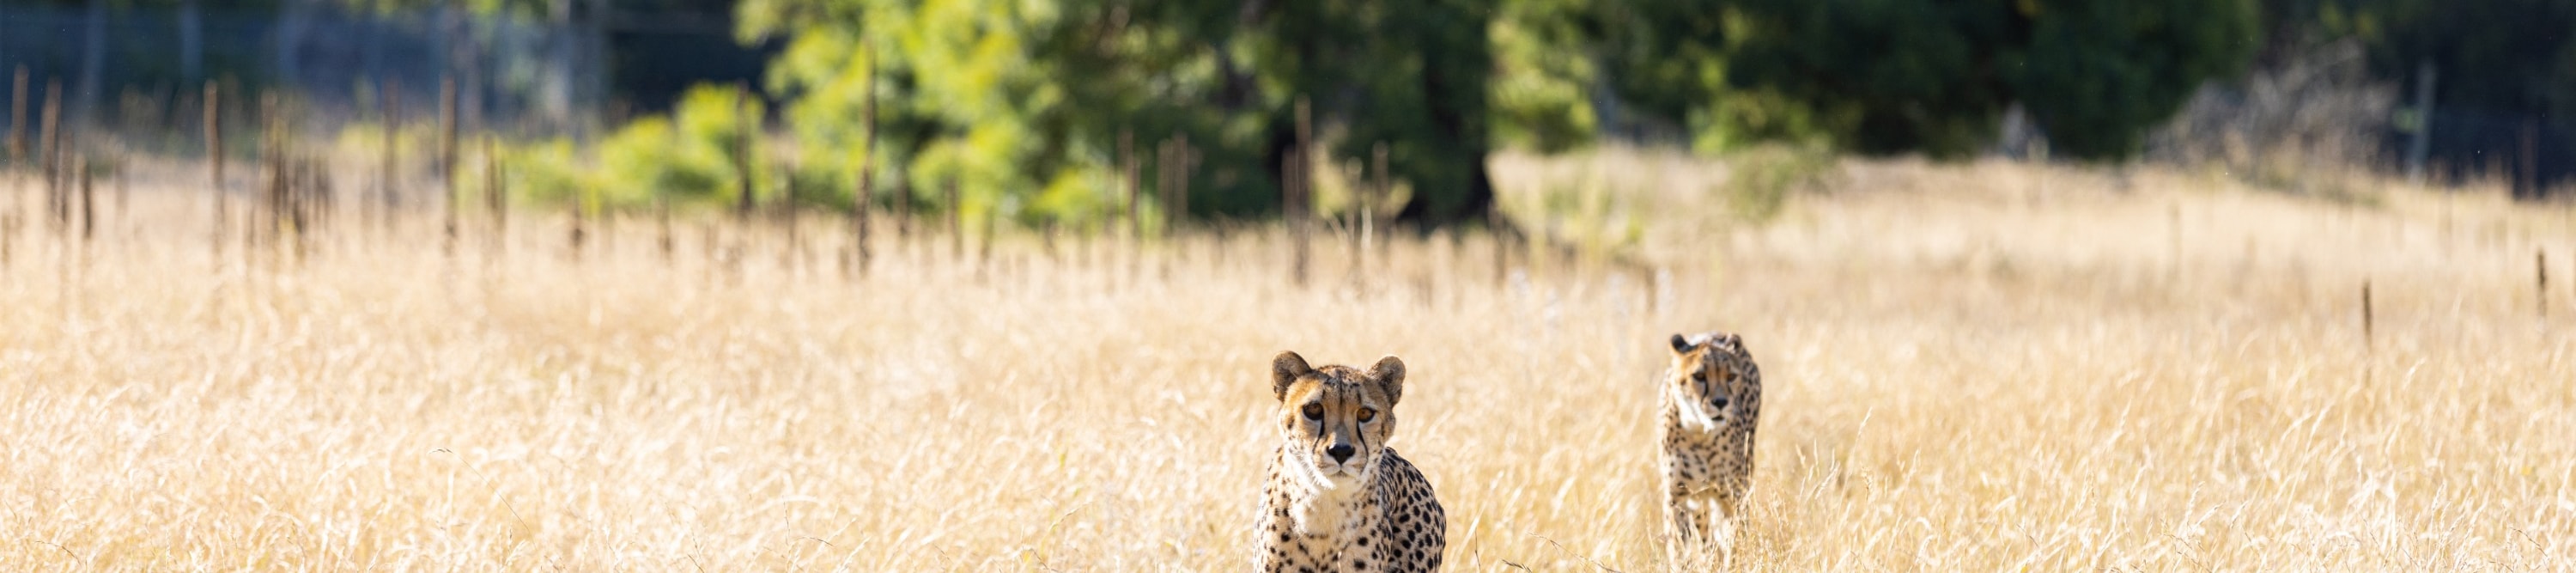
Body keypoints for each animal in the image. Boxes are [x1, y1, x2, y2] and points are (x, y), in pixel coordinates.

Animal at [1659, 330, 1762, 567]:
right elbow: (1680, 545)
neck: (1700, 433)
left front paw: (1731, 564)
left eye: (1731, 376)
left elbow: (1733, 540)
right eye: (1699, 376)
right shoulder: (1677, 497)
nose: (1721, 402)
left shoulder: (1732, 495)